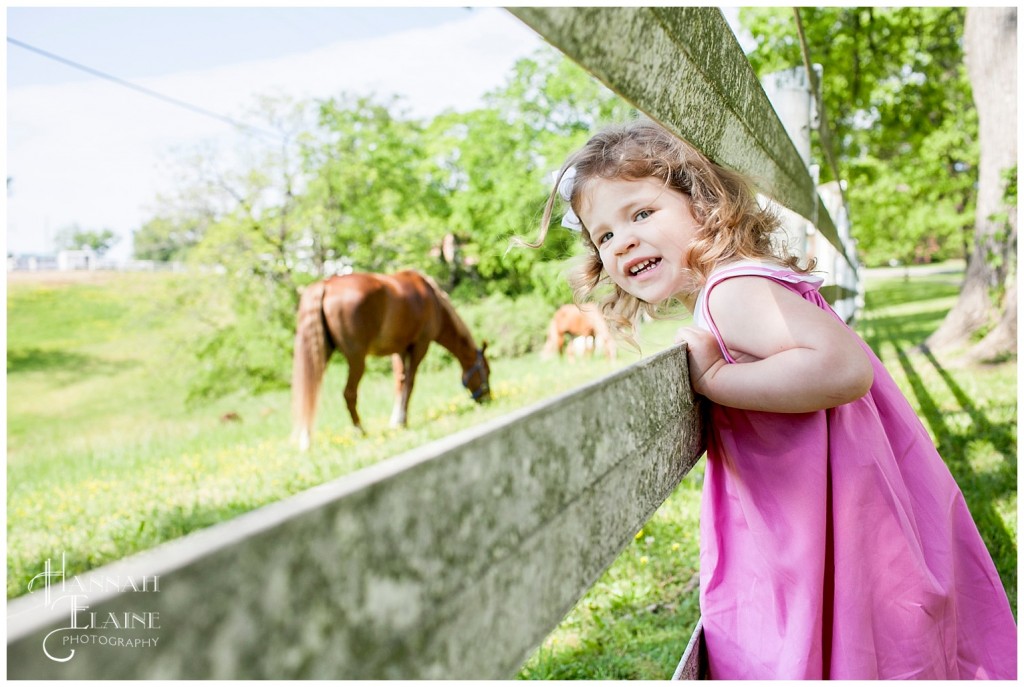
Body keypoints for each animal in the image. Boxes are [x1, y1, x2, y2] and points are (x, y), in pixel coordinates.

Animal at [290, 268, 489, 450]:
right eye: (487, 372)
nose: (487, 398)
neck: (435, 303)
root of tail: (326, 284)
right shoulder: (420, 345)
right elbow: (410, 383)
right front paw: (402, 421)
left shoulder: (399, 350)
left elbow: (399, 383)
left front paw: (395, 420)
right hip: (356, 358)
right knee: (349, 393)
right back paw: (360, 431)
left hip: (320, 354)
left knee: (311, 389)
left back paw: (306, 440)